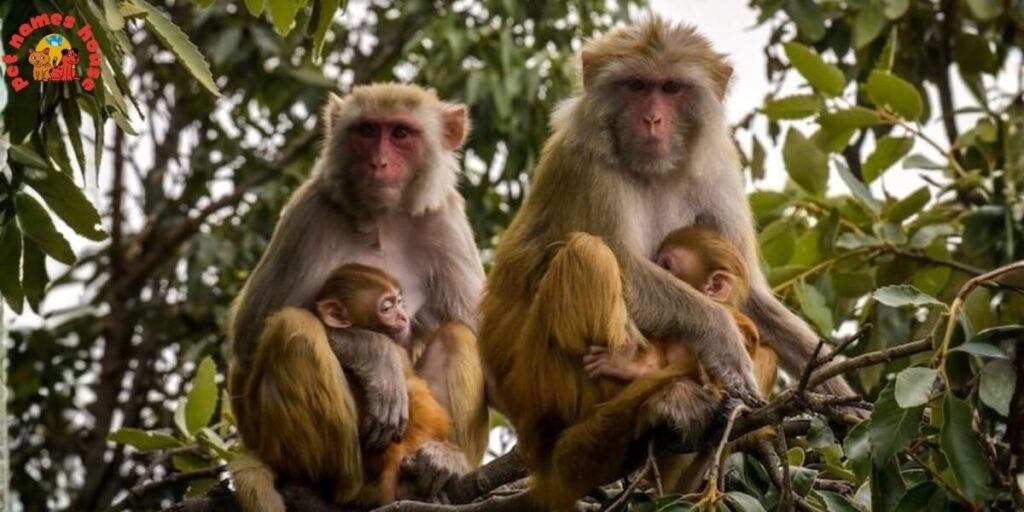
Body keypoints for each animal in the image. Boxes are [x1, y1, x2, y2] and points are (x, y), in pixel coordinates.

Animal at [228, 84, 489, 512]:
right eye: (366, 131)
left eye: (400, 133)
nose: (378, 163)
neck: (382, 217)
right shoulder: (308, 214)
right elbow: (248, 346)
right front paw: (375, 355)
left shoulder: (445, 220)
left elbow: (484, 342)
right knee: (292, 329)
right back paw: (338, 484)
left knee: (456, 334)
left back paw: (436, 464)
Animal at [477, 18, 855, 510]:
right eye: (637, 86)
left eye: (671, 88)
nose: (652, 120)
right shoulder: (587, 167)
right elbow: (627, 268)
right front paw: (721, 336)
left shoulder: (719, 170)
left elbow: (749, 294)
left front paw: (843, 400)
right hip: (542, 388)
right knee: (589, 254)